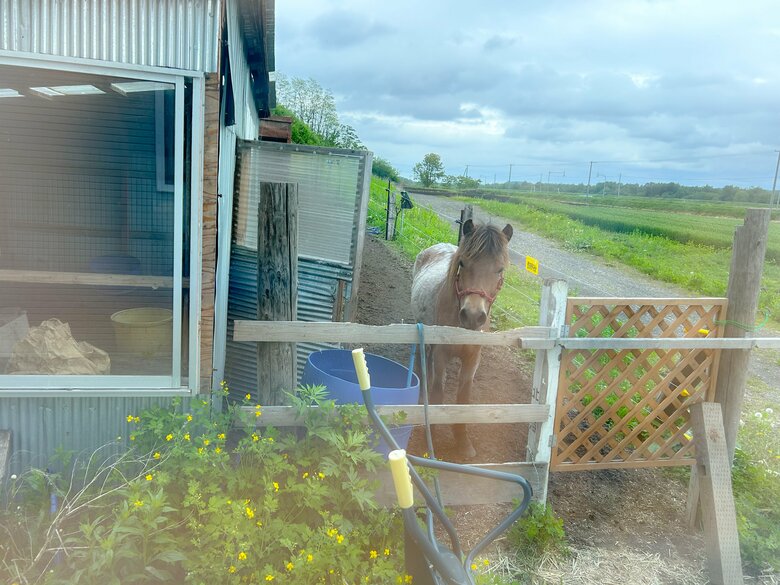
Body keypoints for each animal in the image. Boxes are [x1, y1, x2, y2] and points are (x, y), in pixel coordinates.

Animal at [411, 219, 513, 458]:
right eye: (463, 263)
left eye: (500, 269)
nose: (473, 316)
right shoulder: (441, 355)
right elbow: (437, 393)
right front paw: (433, 438)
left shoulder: (472, 359)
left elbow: (463, 399)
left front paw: (463, 441)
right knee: (422, 364)